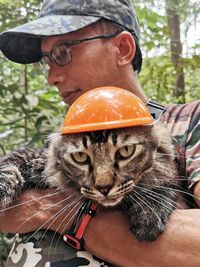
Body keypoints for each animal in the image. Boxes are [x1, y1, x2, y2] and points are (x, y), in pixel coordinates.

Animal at [0, 123, 177, 243]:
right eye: (80, 157)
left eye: (126, 151)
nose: (104, 188)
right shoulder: (31, 158)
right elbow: (8, 167)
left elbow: (161, 188)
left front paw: (149, 217)